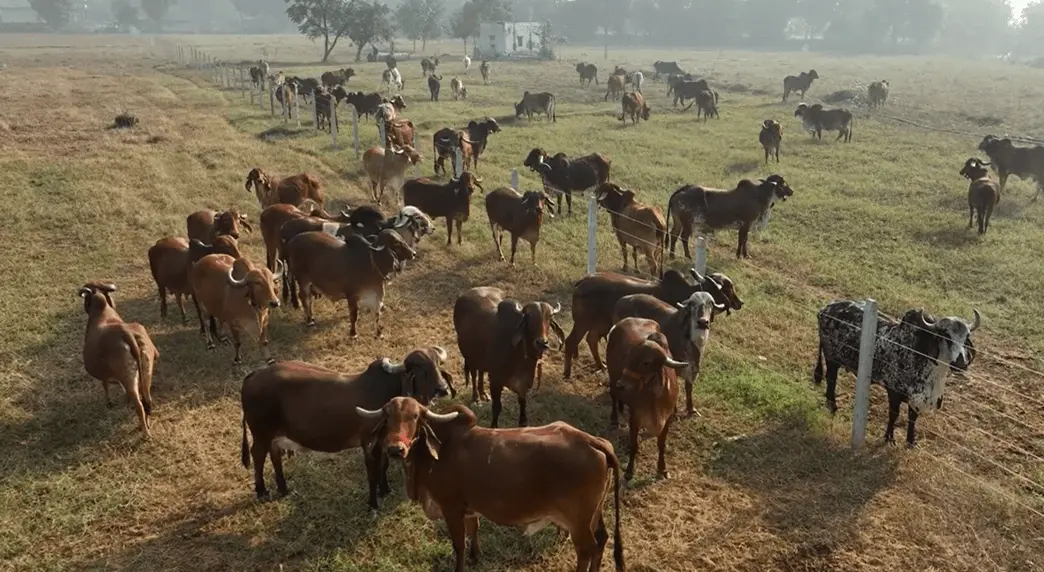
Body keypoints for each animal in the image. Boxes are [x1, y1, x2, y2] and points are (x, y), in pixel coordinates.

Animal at [239, 347, 454, 506]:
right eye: (419, 367)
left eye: (437, 363)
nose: (442, 388)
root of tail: (253, 375)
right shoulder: (369, 443)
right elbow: (373, 472)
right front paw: (374, 501)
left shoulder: (384, 444)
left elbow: (383, 466)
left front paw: (385, 490)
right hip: (261, 433)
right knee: (258, 455)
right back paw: (262, 491)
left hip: (274, 435)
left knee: (275, 455)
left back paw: (283, 488)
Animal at [356, 397, 624, 572]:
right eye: (387, 417)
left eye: (414, 416)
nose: (395, 449)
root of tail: (593, 441)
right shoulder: (469, 508)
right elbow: (473, 531)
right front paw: (476, 556)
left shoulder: (451, 508)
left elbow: (459, 545)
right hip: (594, 514)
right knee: (601, 540)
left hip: (578, 521)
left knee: (587, 549)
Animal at [814, 300, 980, 446]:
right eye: (946, 335)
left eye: (967, 337)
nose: (961, 363)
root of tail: (826, 308)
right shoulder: (893, 391)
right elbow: (894, 414)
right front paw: (889, 438)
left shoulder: (915, 398)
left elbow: (912, 417)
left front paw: (911, 441)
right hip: (831, 359)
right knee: (831, 379)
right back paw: (832, 406)